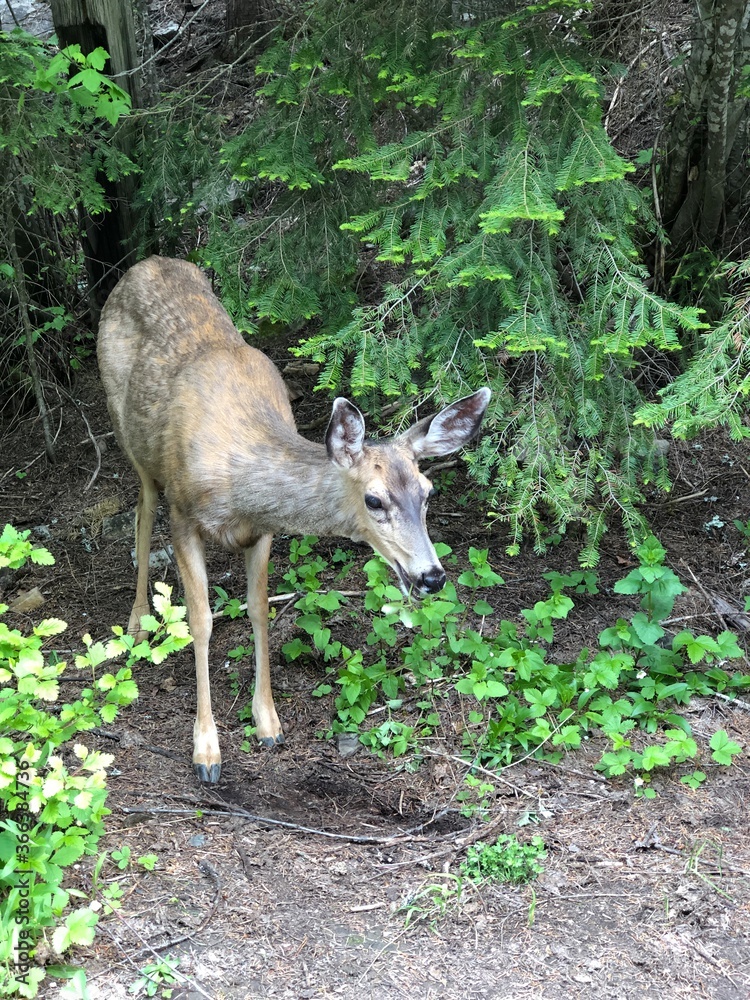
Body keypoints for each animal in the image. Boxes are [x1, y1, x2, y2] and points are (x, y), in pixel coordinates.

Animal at [97, 257, 491, 783]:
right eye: (374, 500)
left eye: (428, 493)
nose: (432, 575)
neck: (238, 482)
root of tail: (142, 265)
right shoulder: (183, 516)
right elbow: (201, 622)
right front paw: (206, 750)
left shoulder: (262, 531)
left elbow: (259, 610)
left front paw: (268, 722)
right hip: (130, 436)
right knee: (142, 512)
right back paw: (138, 621)